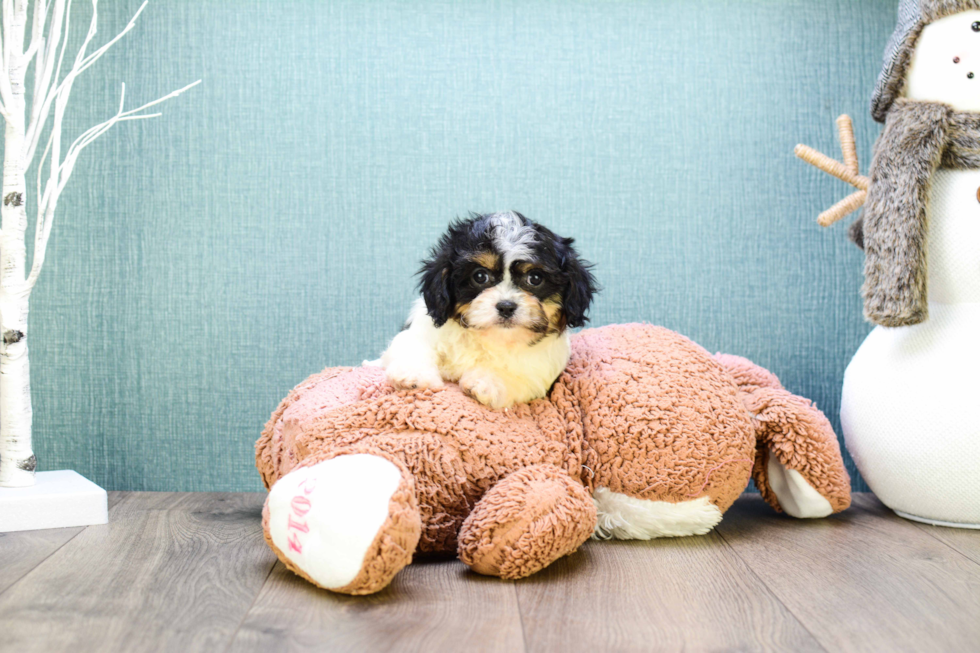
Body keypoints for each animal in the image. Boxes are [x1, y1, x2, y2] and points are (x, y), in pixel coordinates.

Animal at [380, 211, 596, 408]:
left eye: (535, 278)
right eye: (480, 276)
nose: (506, 306)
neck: (490, 338)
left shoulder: (540, 370)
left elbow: (520, 377)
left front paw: (486, 382)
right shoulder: (423, 331)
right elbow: (412, 344)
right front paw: (413, 376)